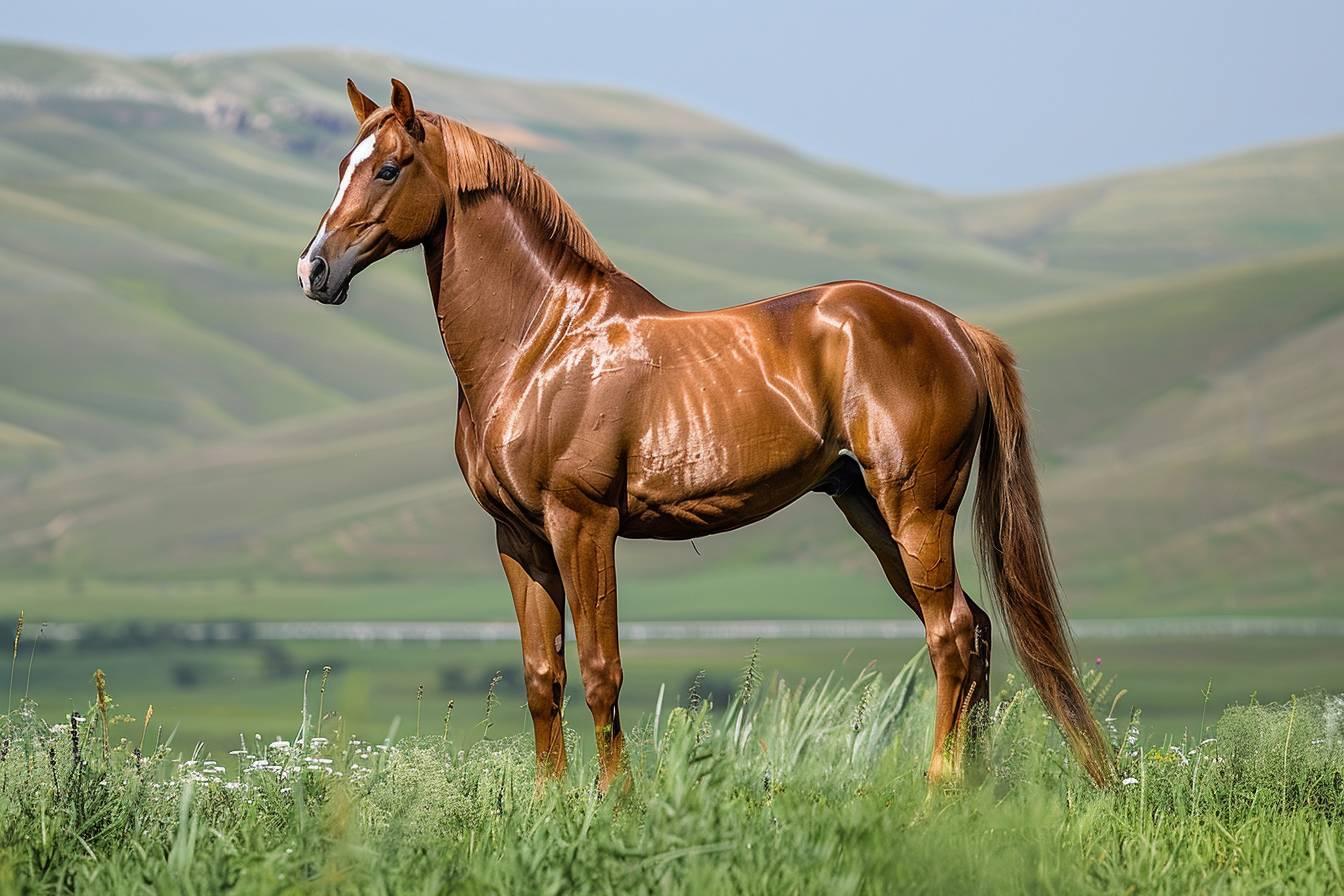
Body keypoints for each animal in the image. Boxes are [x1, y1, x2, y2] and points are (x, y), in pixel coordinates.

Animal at [297, 78, 1114, 790]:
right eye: (341, 167)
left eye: (389, 168)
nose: (315, 271)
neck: (541, 343)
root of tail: (953, 329)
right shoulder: (519, 537)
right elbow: (541, 676)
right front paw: (548, 805)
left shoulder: (583, 524)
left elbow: (601, 672)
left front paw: (616, 804)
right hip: (869, 510)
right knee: (976, 632)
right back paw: (972, 797)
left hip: (916, 512)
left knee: (950, 636)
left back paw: (937, 793)